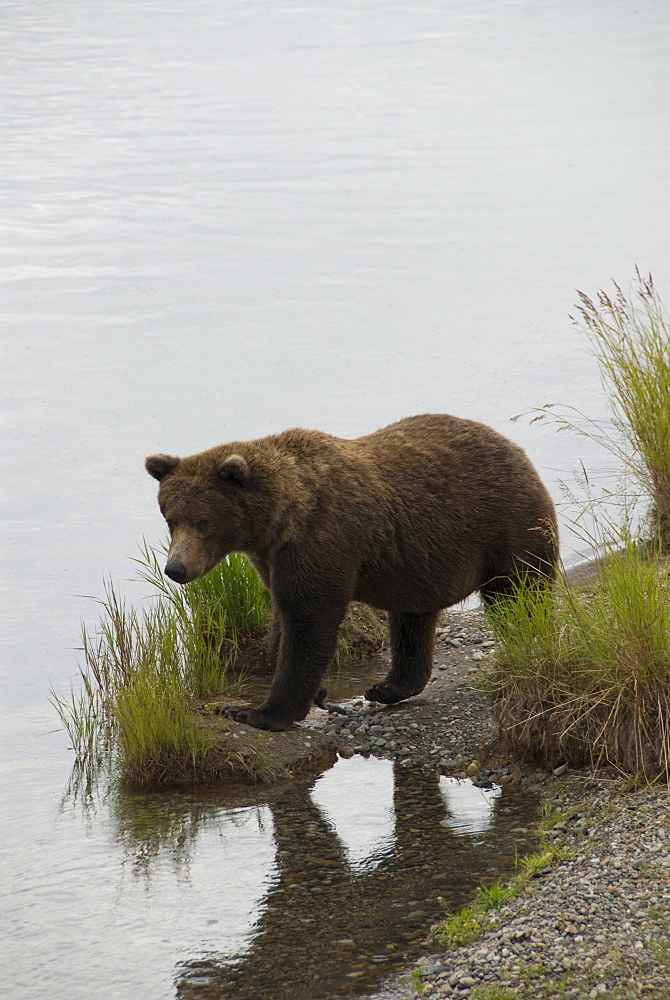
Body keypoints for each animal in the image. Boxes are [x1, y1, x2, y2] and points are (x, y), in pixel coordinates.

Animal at [148, 414, 560, 736]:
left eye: (203, 521)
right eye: (170, 518)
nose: (176, 569)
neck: (281, 519)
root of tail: (515, 448)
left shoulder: (323, 538)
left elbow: (308, 621)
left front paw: (258, 712)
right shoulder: (272, 558)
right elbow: (282, 615)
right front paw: (309, 693)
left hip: (506, 526)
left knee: (518, 595)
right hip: (420, 565)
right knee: (411, 621)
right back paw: (388, 687)